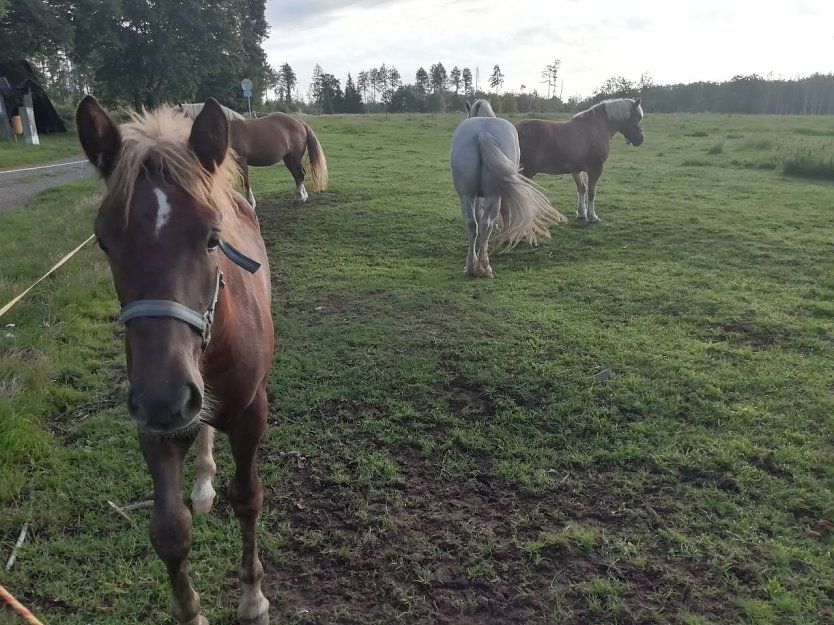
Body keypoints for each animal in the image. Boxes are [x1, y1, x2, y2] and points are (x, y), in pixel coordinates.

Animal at [76, 95, 272, 620]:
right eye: (104, 241)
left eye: (212, 238)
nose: (165, 399)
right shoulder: (153, 429)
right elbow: (169, 529)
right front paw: (190, 611)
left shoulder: (251, 413)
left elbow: (248, 499)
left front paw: (252, 598)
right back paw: (202, 480)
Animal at [180, 102, 328, 208]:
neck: (227, 130)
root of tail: (300, 122)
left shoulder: (241, 161)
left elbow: (245, 182)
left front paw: (251, 203)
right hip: (288, 159)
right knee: (298, 175)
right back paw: (303, 196)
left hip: (294, 158)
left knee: (299, 175)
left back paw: (299, 198)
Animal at [448, 98, 564, 278]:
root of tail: (483, 134)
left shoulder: (475, 195)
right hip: (492, 195)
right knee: (485, 224)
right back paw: (483, 267)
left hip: (467, 195)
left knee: (473, 224)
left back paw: (472, 266)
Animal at [512, 97, 644, 224]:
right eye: (637, 117)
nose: (640, 139)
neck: (595, 128)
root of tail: (516, 128)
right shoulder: (595, 169)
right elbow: (591, 192)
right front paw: (592, 216)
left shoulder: (576, 169)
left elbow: (581, 189)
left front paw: (581, 214)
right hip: (527, 171)